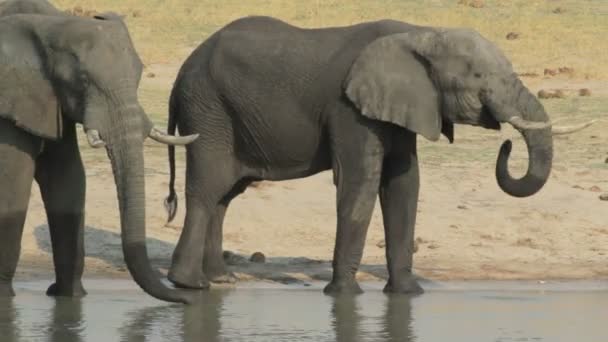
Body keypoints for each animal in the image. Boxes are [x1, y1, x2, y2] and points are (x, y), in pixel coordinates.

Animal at [0, 12, 197, 304]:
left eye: (139, 75)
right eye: (82, 80)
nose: (188, 300)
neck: (48, 25)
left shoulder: (51, 99)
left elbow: (68, 177)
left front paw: (69, 296)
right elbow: (14, 181)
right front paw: (5, 299)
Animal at [164, 15, 592, 294]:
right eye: (478, 78)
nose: (506, 144)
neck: (422, 34)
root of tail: (181, 70)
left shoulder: (404, 106)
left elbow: (405, 183)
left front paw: (408, 293)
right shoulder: (350, 109)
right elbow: (361, 182)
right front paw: (343, 295)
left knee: (225, 195)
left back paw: (221, 279)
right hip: (209, 109)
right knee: (208, 188)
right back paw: (189, 285)